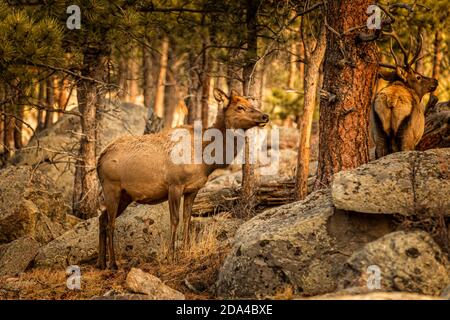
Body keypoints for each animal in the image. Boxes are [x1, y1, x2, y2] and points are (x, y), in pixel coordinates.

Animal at [96, 88, 268, 270]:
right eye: (240, 107)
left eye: (251, 103)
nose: (265, 116)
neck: (206, 158)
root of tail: (99, 159)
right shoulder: (175, 185)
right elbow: (175, 219)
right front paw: (171, 256)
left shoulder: (192, 189)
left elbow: (187, 219)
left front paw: (185, 251)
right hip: (111, 187)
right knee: (111, 223)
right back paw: (112, 263)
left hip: (125, 195)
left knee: (102, 219)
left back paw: (101, 262)